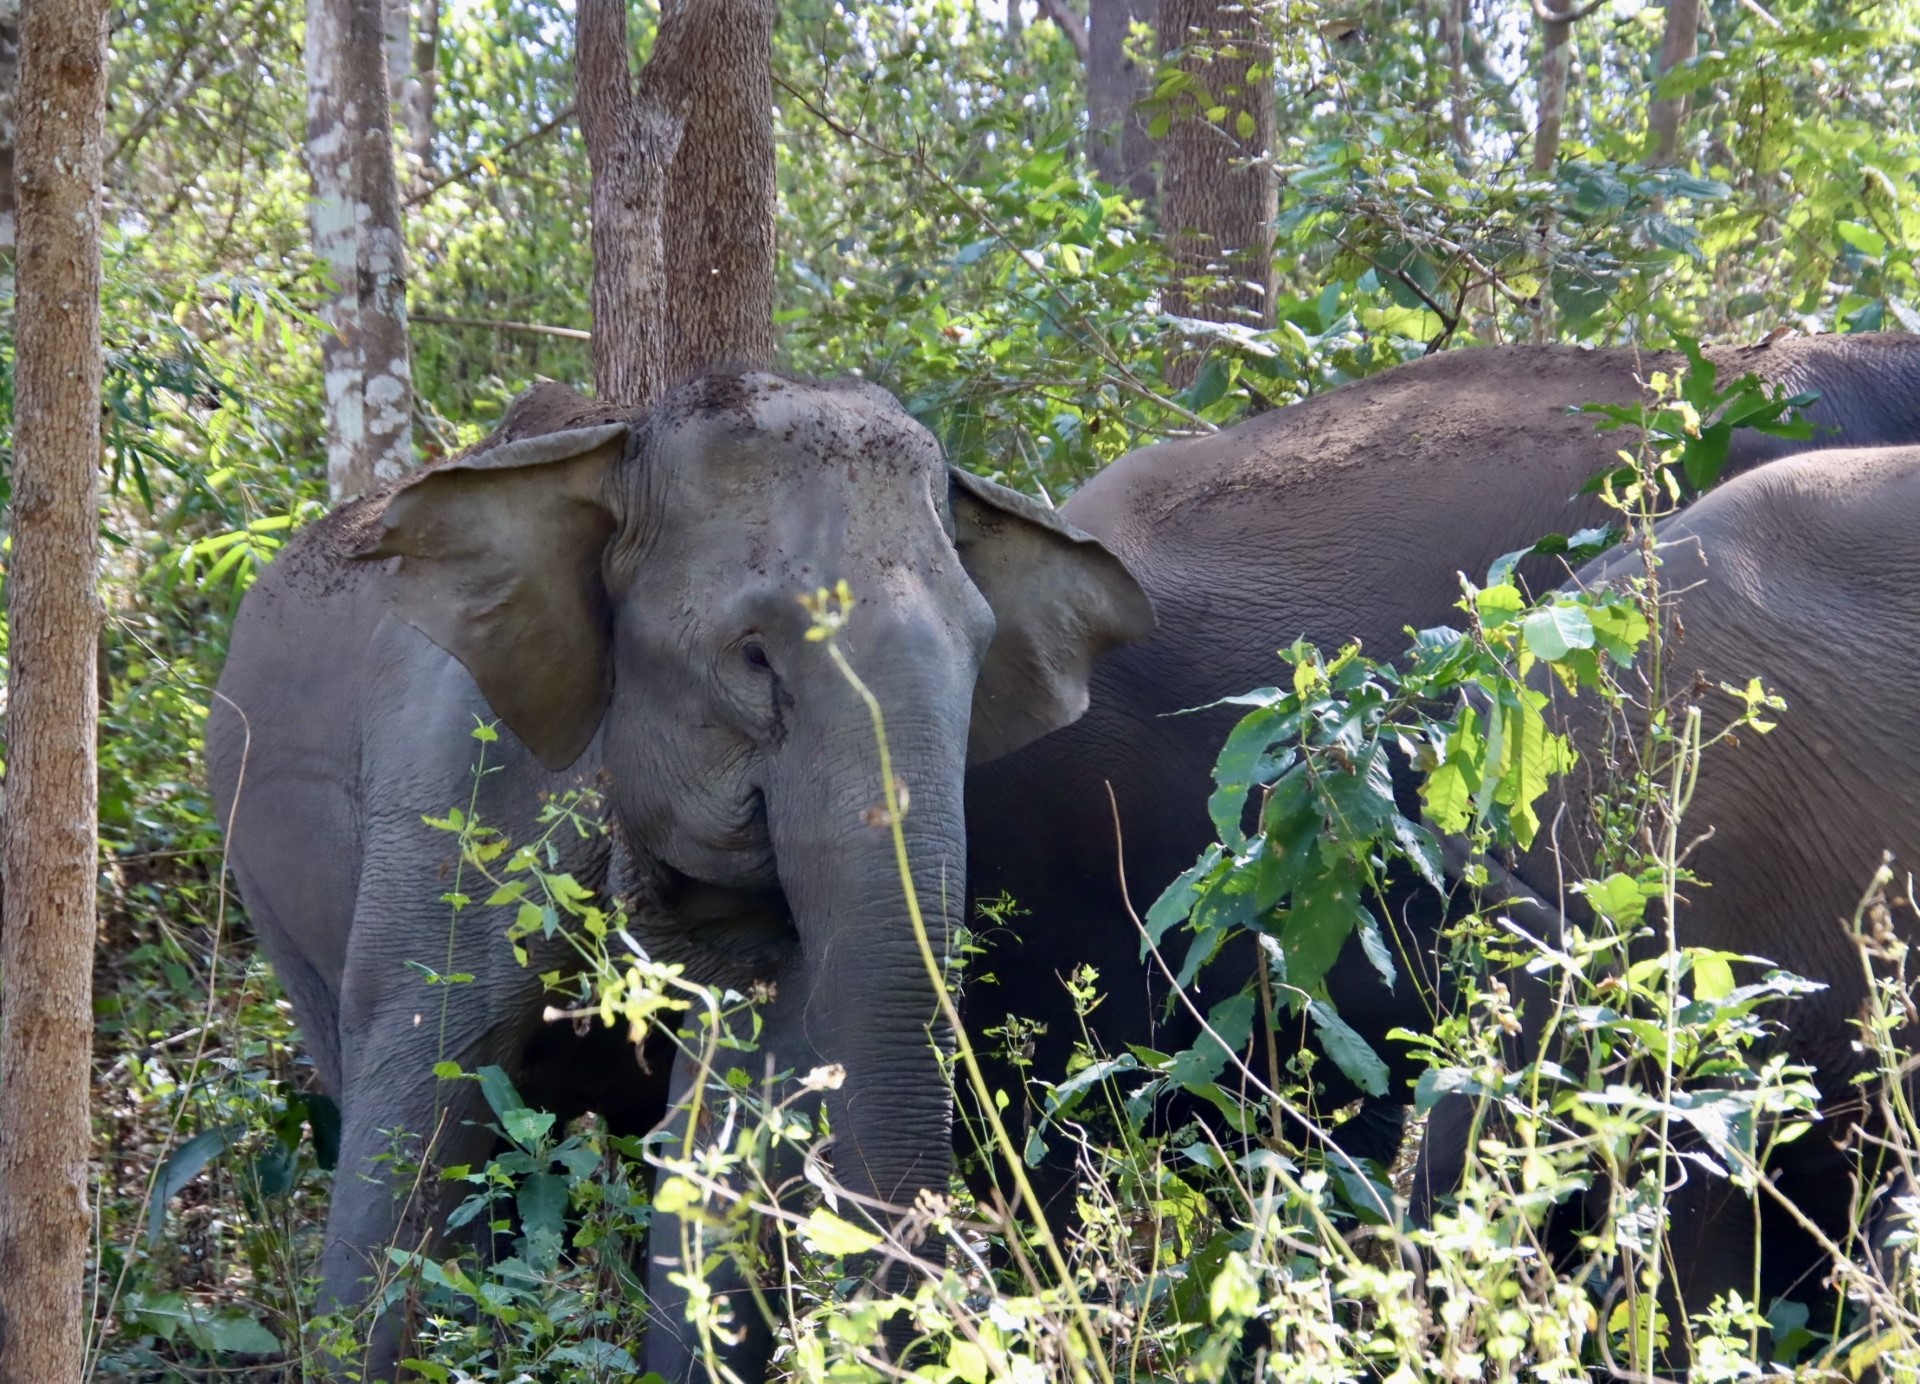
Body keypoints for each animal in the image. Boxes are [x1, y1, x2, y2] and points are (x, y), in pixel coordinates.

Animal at [205, 373, 1153, 1381]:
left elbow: (732, 1093)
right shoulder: (446, 780)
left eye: (980, 655)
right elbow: (420, 1080)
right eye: (754, 654)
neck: (626, 441)